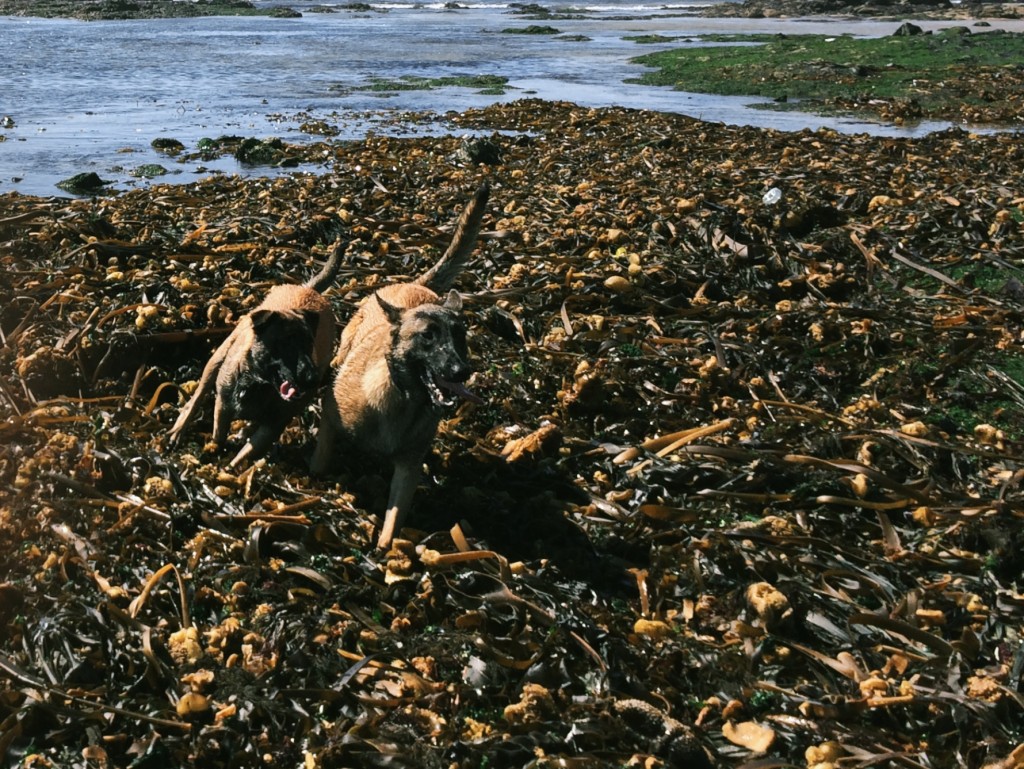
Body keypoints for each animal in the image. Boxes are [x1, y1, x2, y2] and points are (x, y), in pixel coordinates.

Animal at [167, 244, 342, 468]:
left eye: (310, 344)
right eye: (285, 344)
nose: (312, 379)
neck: (257, 383)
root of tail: (308, 289)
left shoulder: (271, 429)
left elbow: (244, 456)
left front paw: (228, 468)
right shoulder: (223, 407)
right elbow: (218, 435)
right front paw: (216, 453)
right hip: (216, 360)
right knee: (196, 398)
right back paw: (179, 430)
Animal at [309, 183, 489, 548]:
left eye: (460, 335)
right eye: (428, 336)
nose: (461, 372)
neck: (404, 399)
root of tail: (413, 284)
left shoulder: (408, 468)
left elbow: (393, 521)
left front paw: (385, 549)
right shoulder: (331, 419)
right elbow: (320, 462)